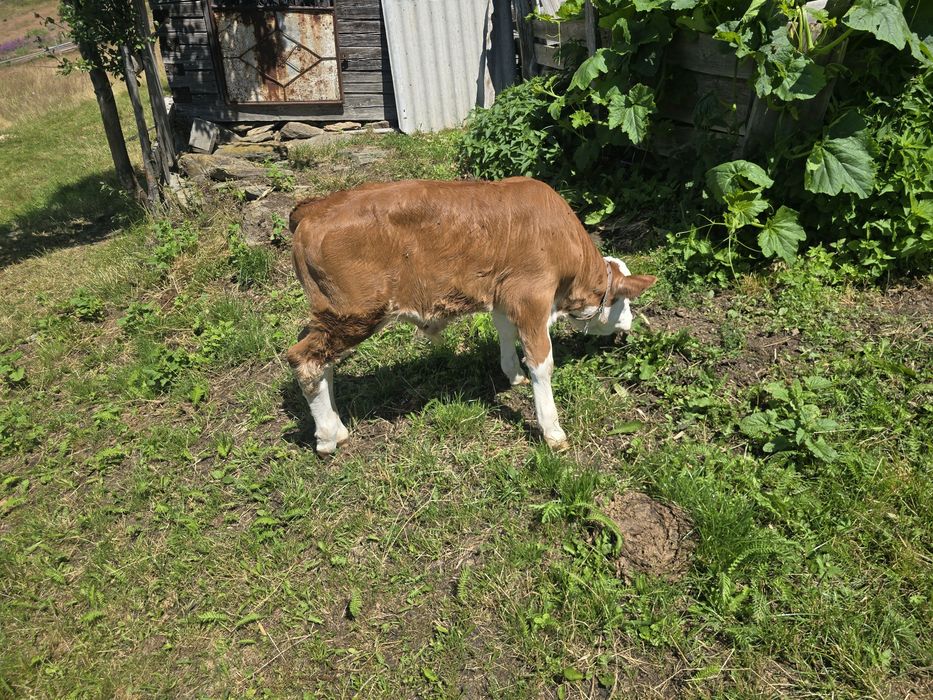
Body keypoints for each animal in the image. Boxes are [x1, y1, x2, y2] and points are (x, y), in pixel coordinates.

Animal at [286, 177, 656, 455]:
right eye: (624, 301)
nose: (629, 324)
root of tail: (315, 207)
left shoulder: (504, 294)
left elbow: (505, 332)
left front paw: (513, 374)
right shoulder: (532, 296)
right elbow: (543, 363)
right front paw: (553, 432)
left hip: (331, 315)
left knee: (319, 357)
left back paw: (336, 424)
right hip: (355, 313)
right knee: (304, 359)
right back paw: (327, 437)